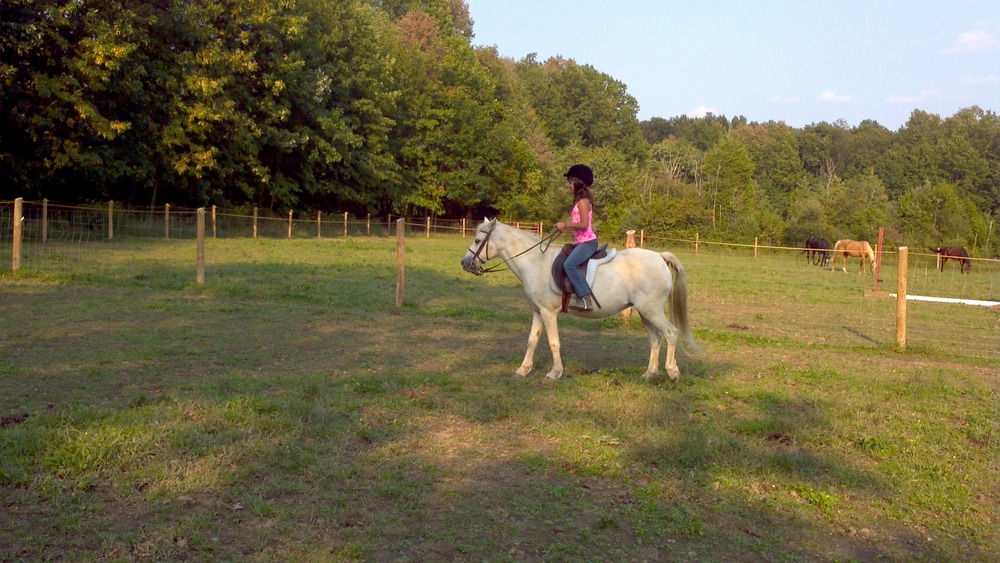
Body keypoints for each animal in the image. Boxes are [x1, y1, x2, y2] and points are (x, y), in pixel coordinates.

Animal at [460, 219, 698, 382]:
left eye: (478, 240)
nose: (465, 262)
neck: (536, 262)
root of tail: (659, 257)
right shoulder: (537, 311)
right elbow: (532, 340)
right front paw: (523, 370)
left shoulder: (548, 312)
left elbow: (553, 342)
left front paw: (554, 373)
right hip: (643, 312)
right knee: (655, 339)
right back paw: (649, 374)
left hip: (652, 311)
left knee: (671, 333)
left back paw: (673, 373)